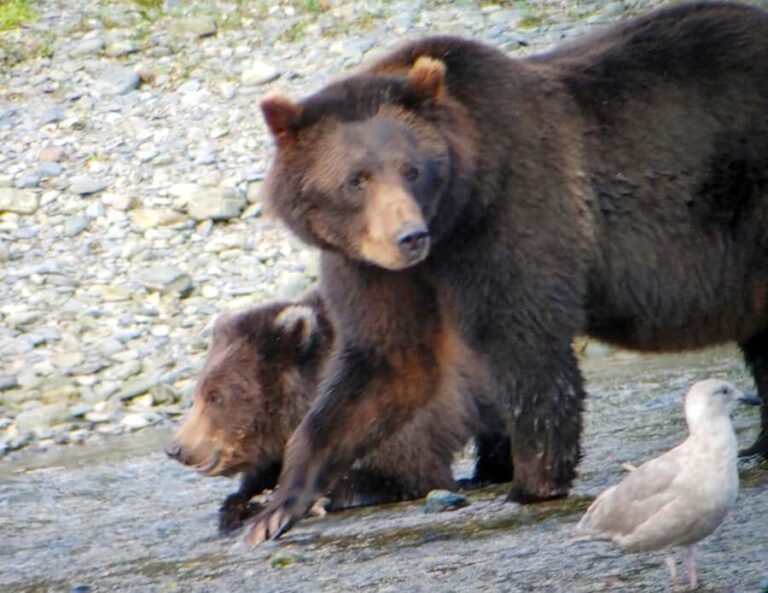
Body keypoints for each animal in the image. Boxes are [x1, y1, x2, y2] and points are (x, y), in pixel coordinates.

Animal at [166, 290, 492, 534]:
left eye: (216, 396)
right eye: (197, 394)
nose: (176, 447)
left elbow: (406, 472)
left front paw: (297, 499)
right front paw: (240, 505)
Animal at [247, 1, 768, 544]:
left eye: (411, 169)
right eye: (356, 179)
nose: (409, 236)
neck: (452, 218)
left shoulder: (507, 214)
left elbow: (526, 344)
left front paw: (532, 483)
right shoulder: (374, 270)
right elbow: (383, 366)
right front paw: (275, 508)